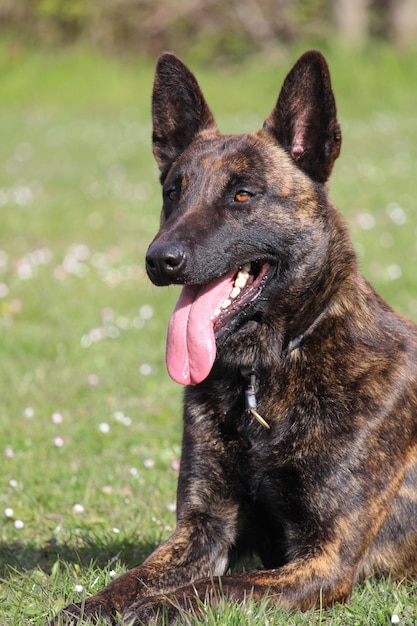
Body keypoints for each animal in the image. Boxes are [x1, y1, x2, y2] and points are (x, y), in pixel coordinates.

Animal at [51, 50, 417, 624]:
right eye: (172, 193)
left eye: (243, 195)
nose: (160, 259)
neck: (266, 373)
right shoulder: (202, 530)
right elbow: (133, 579)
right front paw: (93, 606)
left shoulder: (325, 560)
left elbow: (213, 588)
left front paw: (156, 608)